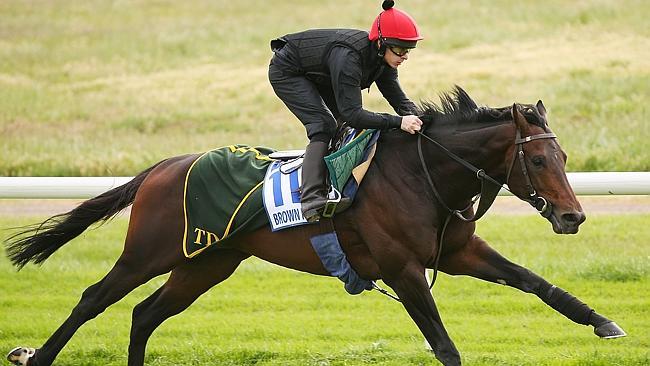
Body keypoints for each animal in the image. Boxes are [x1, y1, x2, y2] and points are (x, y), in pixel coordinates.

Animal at [3, 87, 624, 364]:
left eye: (564, 156)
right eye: (538, 160)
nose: (572, 215)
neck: (422, 174)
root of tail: (161, 167)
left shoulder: (456, 253)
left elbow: (536, 283)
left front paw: (603, 322)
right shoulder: (402, 268)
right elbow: (443, 343)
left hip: (207, 262)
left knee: (145, 313)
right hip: (150, 252)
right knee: (94, 298)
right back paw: (37, 355)